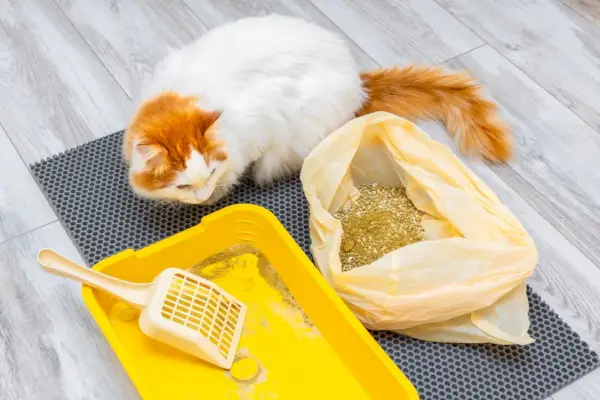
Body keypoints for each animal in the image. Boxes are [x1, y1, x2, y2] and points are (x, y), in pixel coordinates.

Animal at [124, 14, 508, 205]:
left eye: (210, 173)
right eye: (182, 185)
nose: (202, 198)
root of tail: (358, 81)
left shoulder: (260, 128)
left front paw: (217, 192)